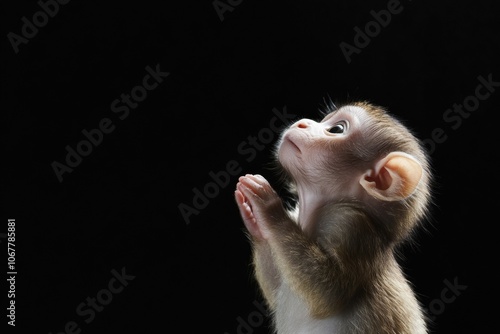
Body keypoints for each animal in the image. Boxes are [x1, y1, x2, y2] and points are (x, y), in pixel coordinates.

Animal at [236, 102, 432, 334]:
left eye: (337, 129)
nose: (303, 123)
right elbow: (274, 286)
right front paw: (254, 221)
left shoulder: (351, 224)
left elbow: (331, 290)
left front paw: (268, 209)